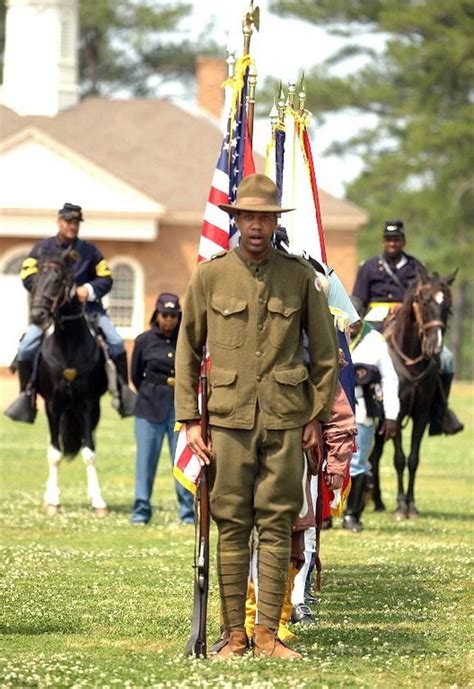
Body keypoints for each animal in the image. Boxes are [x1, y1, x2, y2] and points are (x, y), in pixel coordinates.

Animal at [31, 247, 109, 510]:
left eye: (58, 281)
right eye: (34, 280)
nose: (37, 314)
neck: (68, 349)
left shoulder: (88, 405)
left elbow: (90, 452)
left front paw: (98, 500)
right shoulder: (53, 405)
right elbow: (55, 453)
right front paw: (53, 500)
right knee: (52, 443)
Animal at [370, 266, 456, 520]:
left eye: (448, 305)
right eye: (423, 300)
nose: (434, 346)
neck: (411, 360)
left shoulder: (421, 414)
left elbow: (413, 459)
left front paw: (412, 506)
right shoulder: (395, 415)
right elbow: (399, 459)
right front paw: (400, 507)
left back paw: (378, 501)